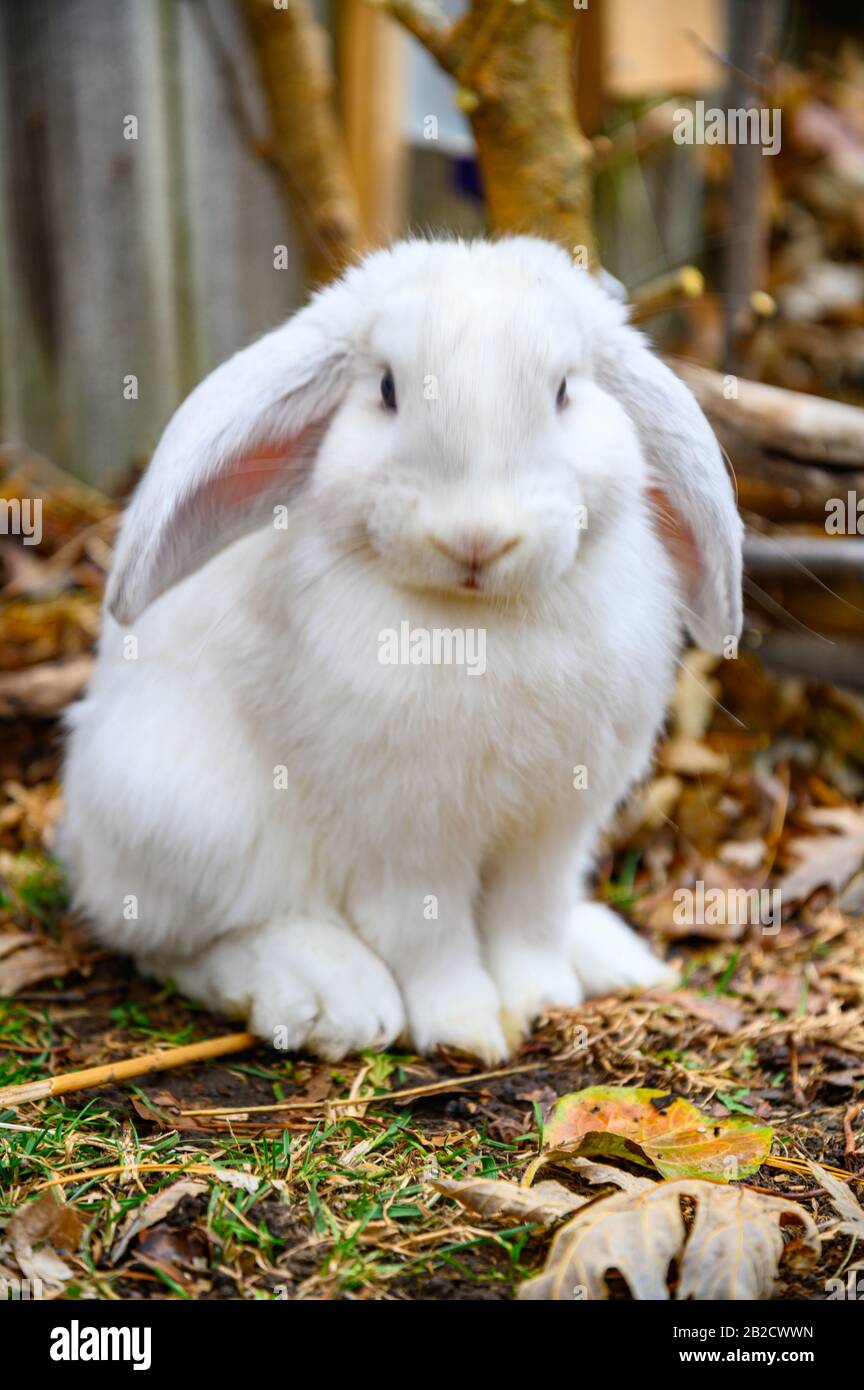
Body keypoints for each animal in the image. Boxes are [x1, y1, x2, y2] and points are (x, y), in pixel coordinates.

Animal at [59, 236, 742, 1064]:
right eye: (386, 390)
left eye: (563, 393)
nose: (476, 537)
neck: (477, 621)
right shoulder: (406, 842)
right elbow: (429, 940)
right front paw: (468, 1030)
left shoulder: (552, 830)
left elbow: (529, 922)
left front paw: (543, 1001)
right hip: (185, 817)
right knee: (177, 941)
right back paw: (329, 997)